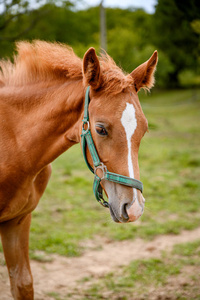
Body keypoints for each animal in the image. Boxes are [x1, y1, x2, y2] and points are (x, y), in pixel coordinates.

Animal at [0, 41, 158, 298]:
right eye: (101, 129)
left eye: (143, 130)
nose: (133, 208)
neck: (12, 141)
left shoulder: (18, 220)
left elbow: (22, 284)